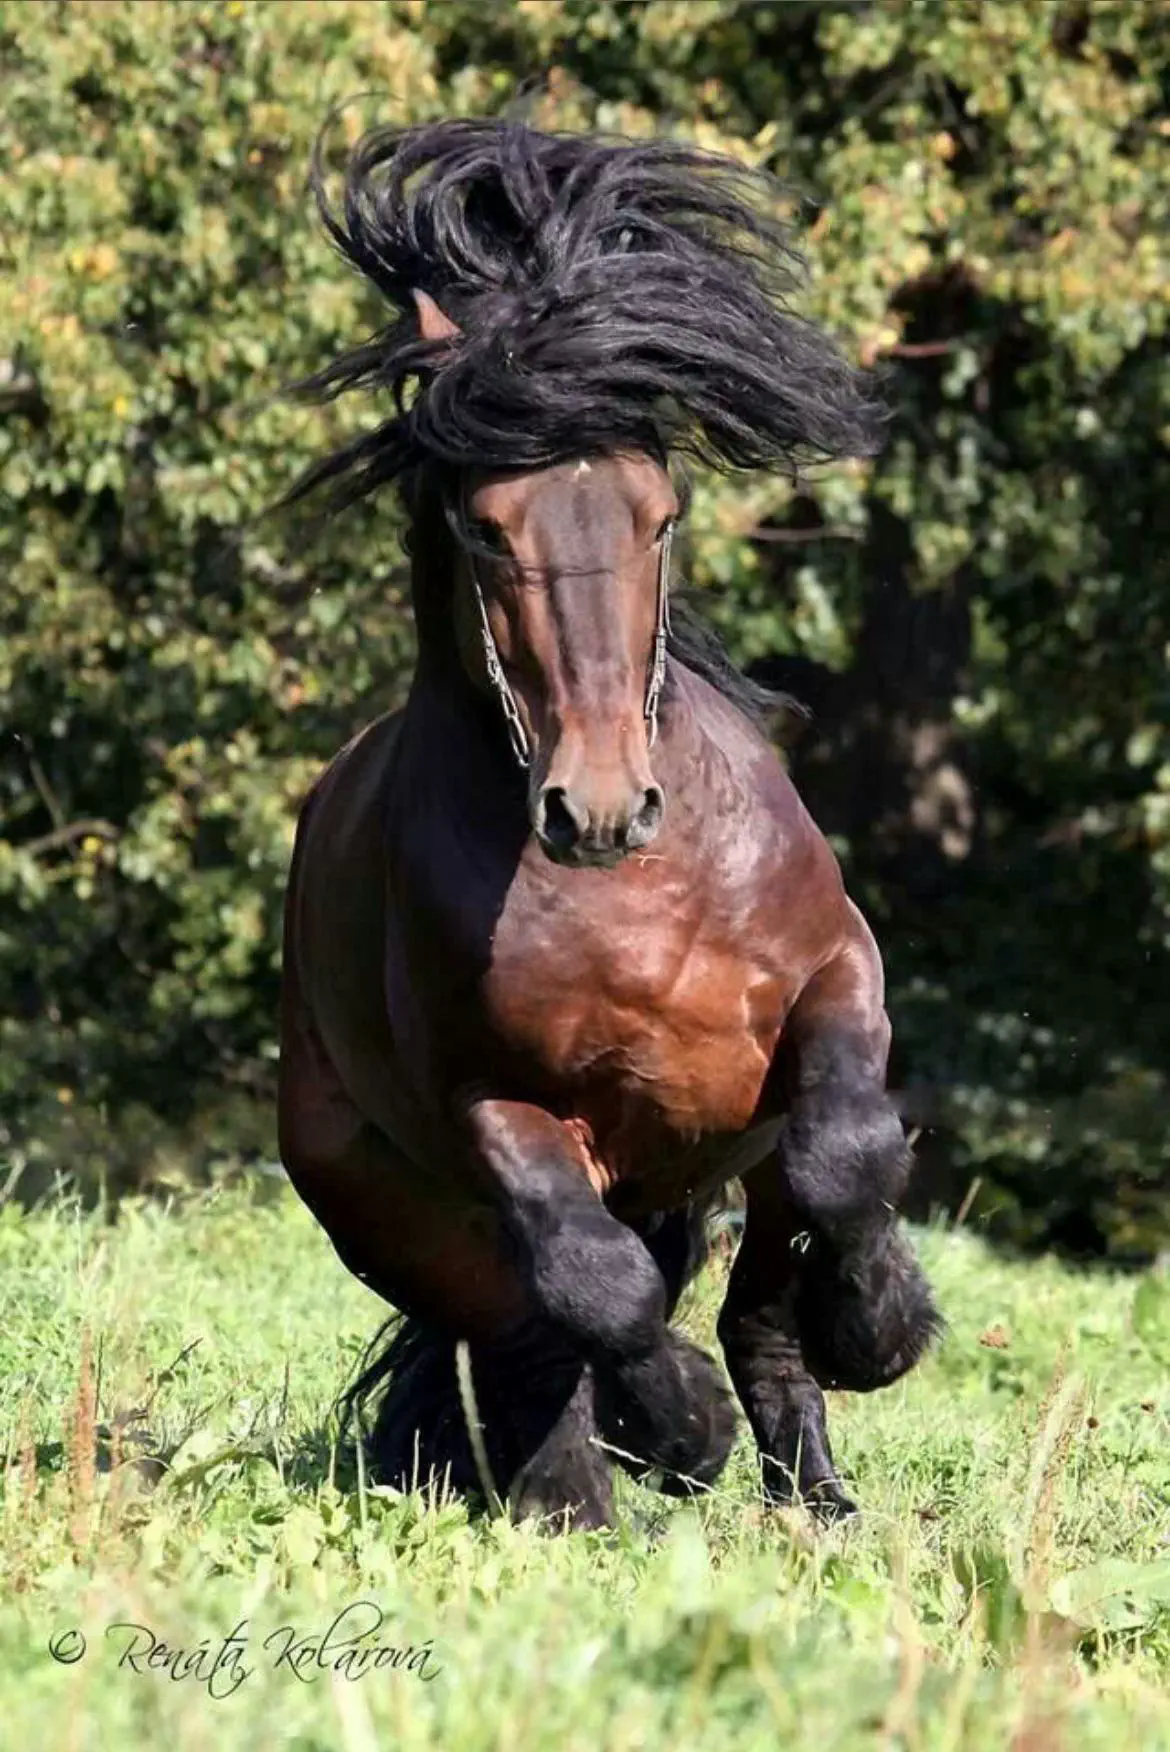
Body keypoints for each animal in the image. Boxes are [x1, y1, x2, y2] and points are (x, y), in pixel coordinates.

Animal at [277, 117, 940, 1529]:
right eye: (487, 525)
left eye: (660, 512)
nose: (595, 807)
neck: (636, 897)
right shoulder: (495, 1108)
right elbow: (599, 1291)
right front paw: (676, 1427)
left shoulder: (834, 984)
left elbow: (850, 1157)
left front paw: (883, 1328)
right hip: (402, 1215)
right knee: (531, 1335)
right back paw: (590, 1485)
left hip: (729, 1161)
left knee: (757, 1315)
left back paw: (818, 1500)